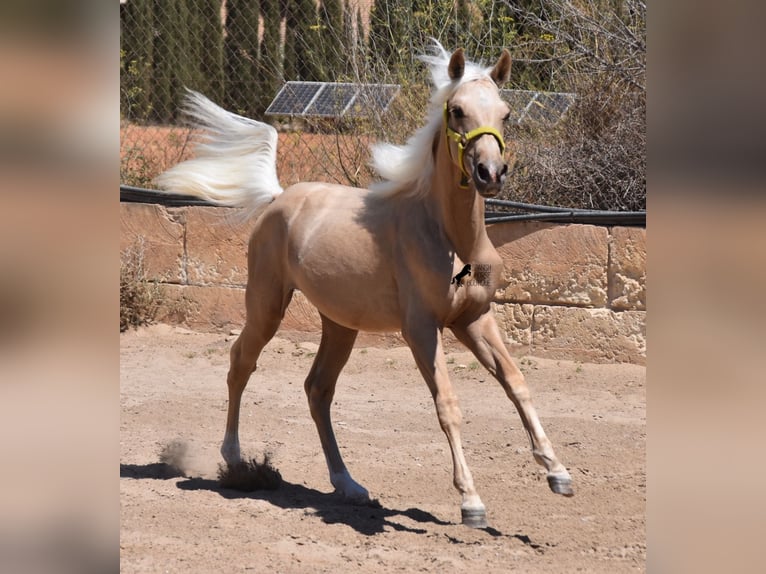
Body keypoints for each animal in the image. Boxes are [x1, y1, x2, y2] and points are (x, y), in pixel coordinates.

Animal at [158, 42, 576, 528]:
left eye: (506, 114)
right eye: (456, 110)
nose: (491, 173)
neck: (448, 236)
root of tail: (279, 197)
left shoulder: (474, 320)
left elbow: (517, 383)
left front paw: (559, 474)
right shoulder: (421, 330)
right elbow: (448, 405)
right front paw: (471, 502)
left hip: (340, 324)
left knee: (318, 389)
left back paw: (349, 485)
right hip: (266, 306)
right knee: (241, 362)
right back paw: (235, 461)